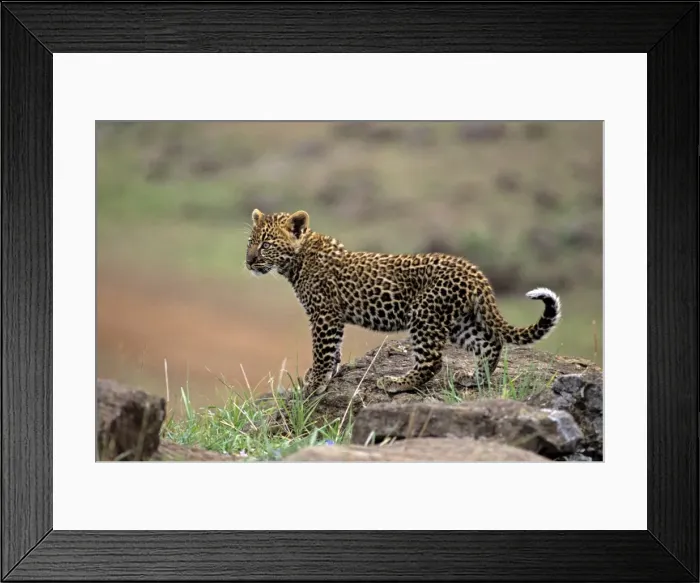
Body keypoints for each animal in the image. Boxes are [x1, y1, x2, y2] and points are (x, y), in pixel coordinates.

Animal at [245, 208, 561, 396]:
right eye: (250, 242)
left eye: (267, 244)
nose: (248, 261)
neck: (297, 260)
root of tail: (473, 270)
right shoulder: (331, 318)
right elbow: (334, 351)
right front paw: (326, 376)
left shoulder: (325, 315)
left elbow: (323, 351)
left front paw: (315, 384)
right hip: (459, 321)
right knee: (490, 344)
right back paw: (475, 378)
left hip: (426, 315)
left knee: (433, 361)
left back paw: (396, 384)